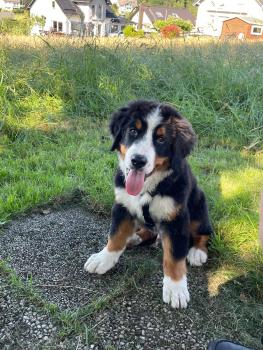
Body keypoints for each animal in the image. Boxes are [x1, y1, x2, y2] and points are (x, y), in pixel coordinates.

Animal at [85, 100, 213, 308]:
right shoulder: (123, 205)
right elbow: (115, 235)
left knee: (203, 233)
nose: (138, 161)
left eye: (160, 140)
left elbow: (175, 256)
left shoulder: (176, 217)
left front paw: (176, 288)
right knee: (147, 231)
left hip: (199, 206)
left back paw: (197, 252)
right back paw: (134, 237)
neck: (148, 187)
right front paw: (103, 258)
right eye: (132, 131)